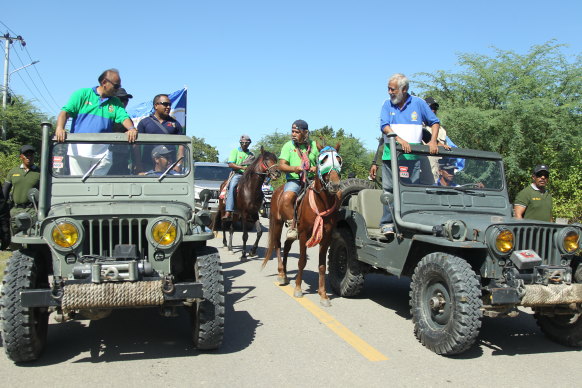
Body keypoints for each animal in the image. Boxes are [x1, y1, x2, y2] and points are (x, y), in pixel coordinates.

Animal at [264, 142, 342, 306]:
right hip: (278, 223)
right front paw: (298, 289)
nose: (335, 185)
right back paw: (281, 274)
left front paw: (323, 295)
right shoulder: (304, 234)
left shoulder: (325, 238)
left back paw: (285, 272)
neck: (320, 204)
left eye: (339, 159)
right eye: (323, 160)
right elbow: (301, 261)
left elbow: (322, 265)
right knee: (277, 245)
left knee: (286, 246)